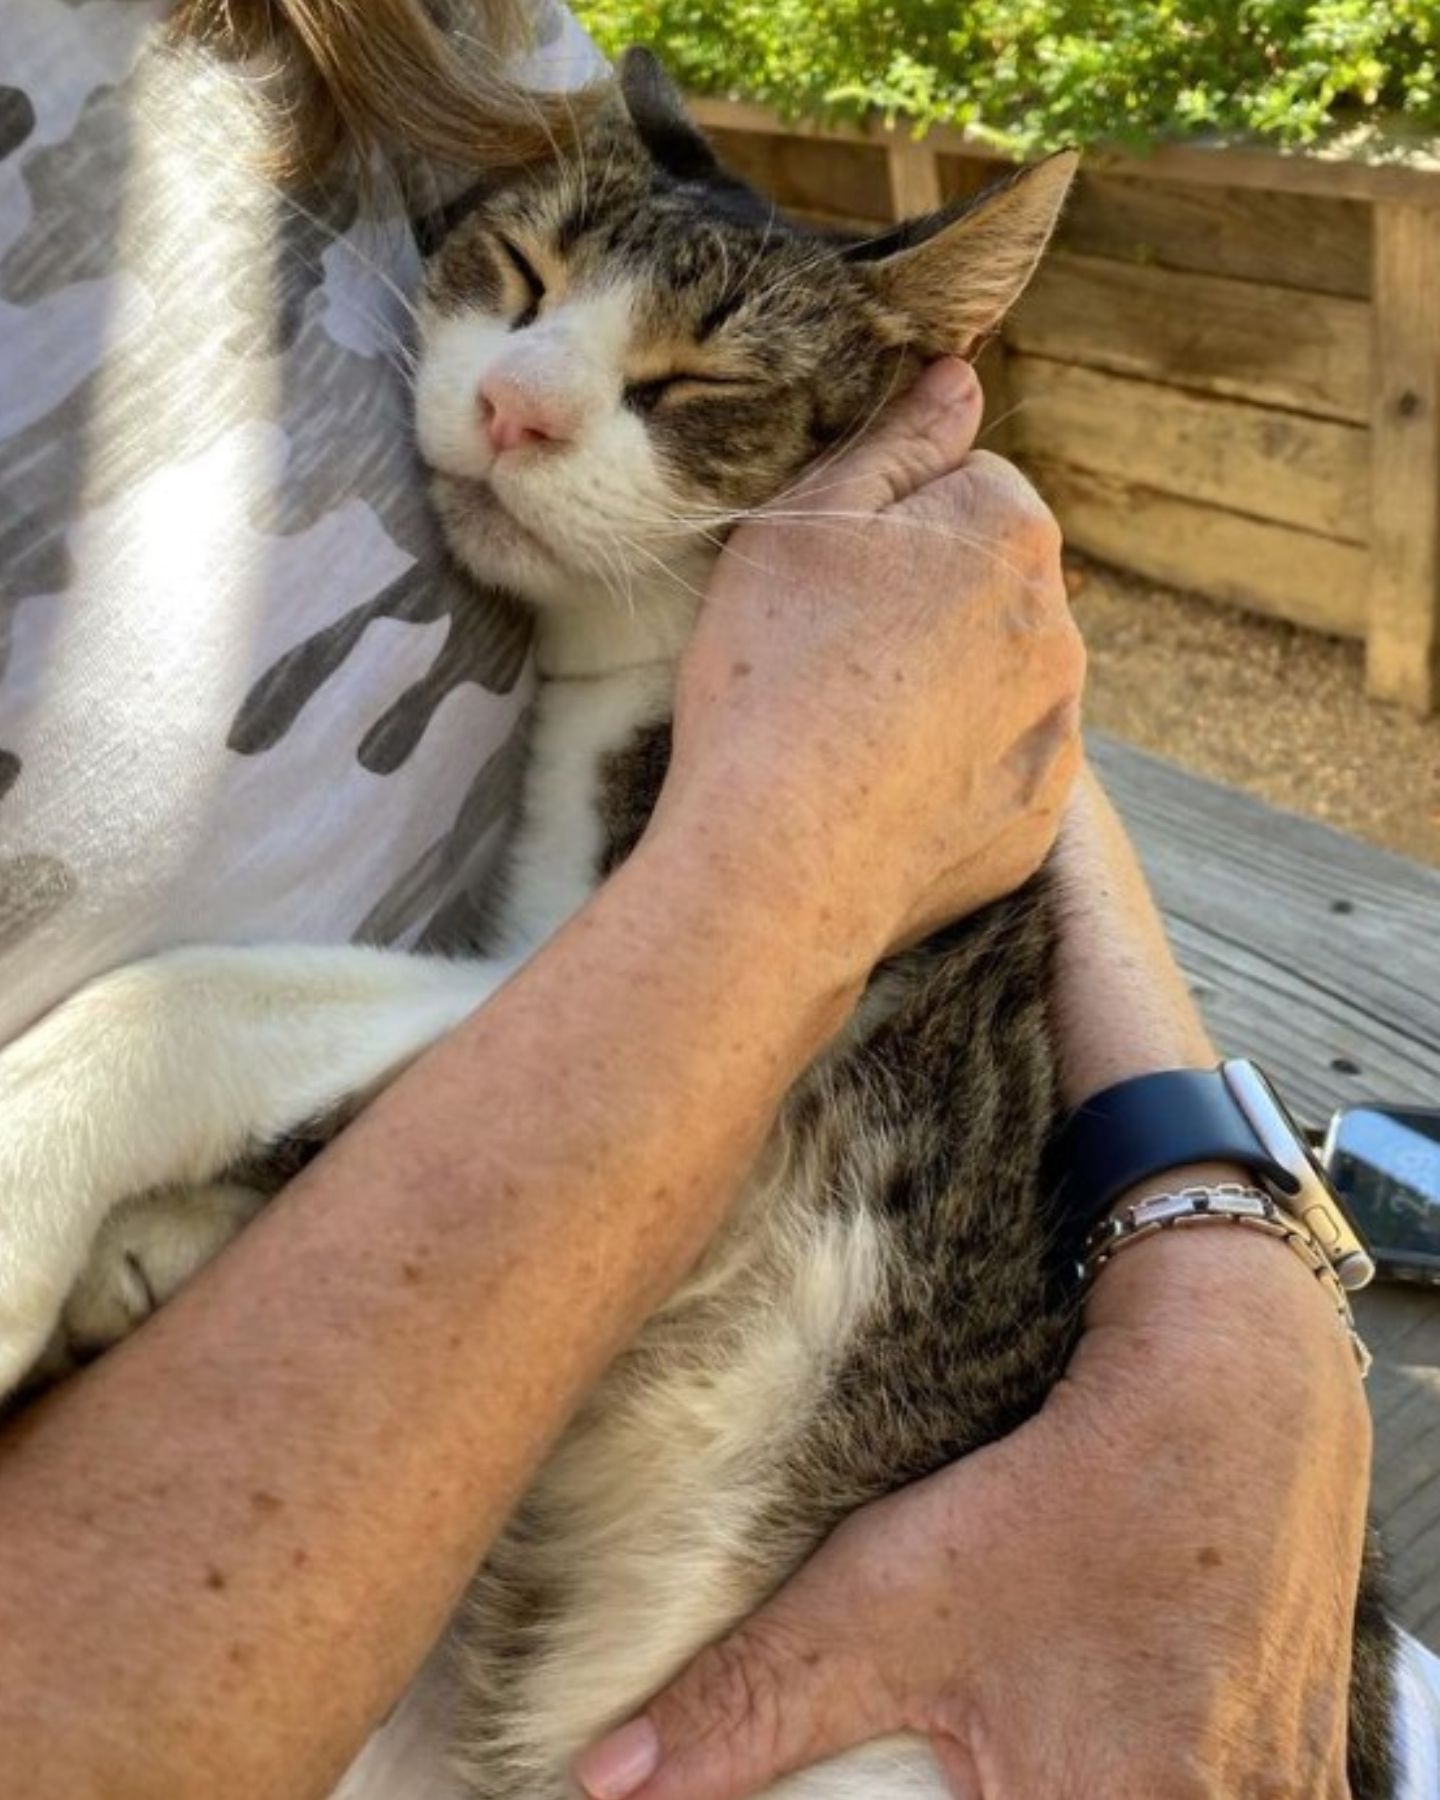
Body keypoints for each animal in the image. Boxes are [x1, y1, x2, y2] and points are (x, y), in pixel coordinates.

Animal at [0, 49, 1396, 1792]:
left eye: (694, 383)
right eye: (521, 271)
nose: (517, 406)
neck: (633, 670)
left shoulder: (754, 1024)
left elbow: (223, 995)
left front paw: (36, 1189)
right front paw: (151, 1246)